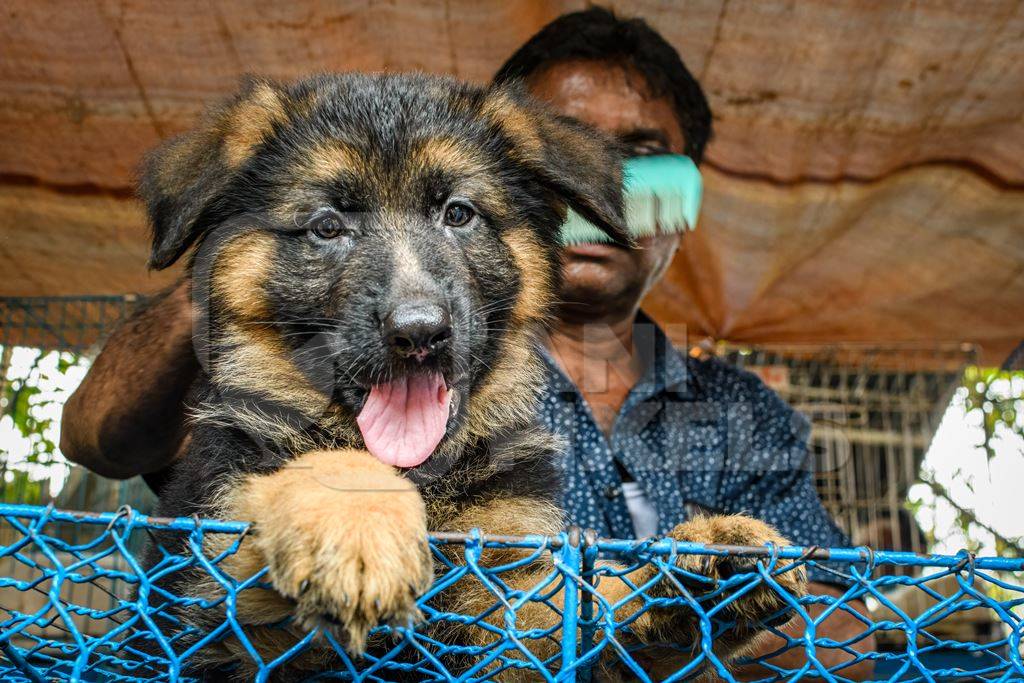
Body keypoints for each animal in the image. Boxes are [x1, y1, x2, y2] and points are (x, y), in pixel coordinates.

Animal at [138, 72, 806, 679]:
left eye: (458, 214)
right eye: (326, 226)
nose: (419, 333)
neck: (424, 476)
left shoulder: (508, 608)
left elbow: (582, 615)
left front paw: (698, 566)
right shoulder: (217, 602)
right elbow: (322, 472)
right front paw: (357, 526)